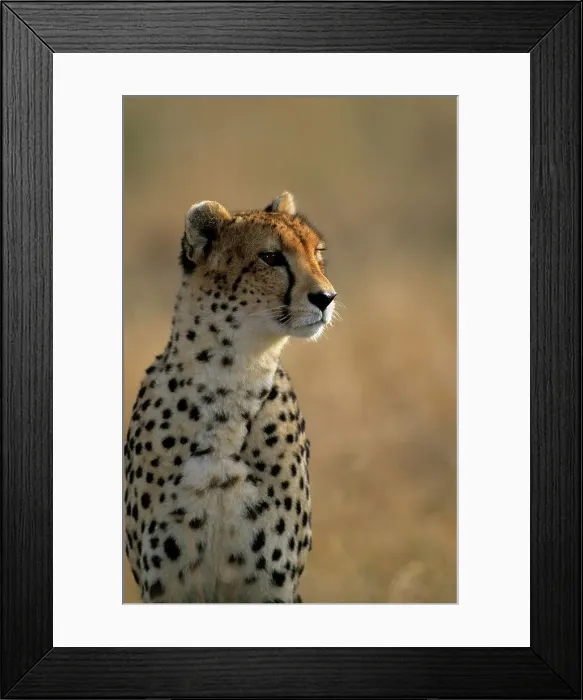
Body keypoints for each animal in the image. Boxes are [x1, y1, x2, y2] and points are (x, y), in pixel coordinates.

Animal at [123, 191, 336, 603]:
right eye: (271, 257)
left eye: (317, 253)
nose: (327, 297)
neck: (231, 377)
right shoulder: (164, 585)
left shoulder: (272, 586)